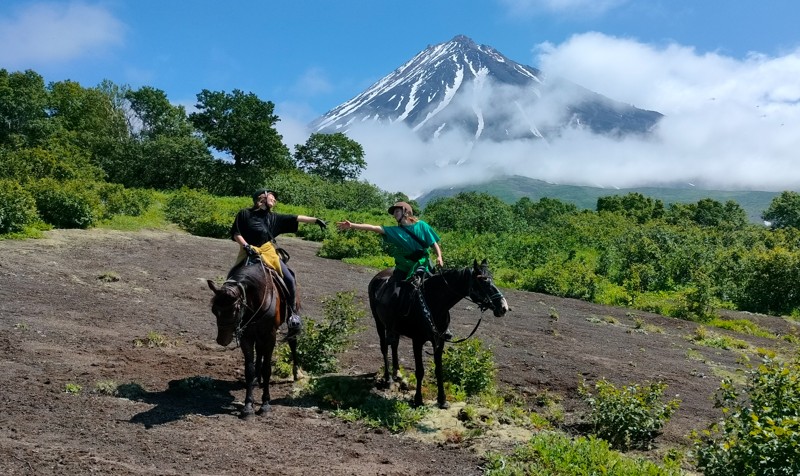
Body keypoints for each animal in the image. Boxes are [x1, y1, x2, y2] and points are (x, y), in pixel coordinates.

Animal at [208, 262, 298, 418]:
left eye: (235, 310)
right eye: (214, 310)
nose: (222, 340)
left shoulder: (270, 336)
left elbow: (267, 369)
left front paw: (265, 404)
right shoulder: (247, 336)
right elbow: (249, 370)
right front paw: (248, 406)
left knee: (292, 341)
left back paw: (296, 373)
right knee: (259, 351)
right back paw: (257, 377)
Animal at [368, 258, 510, 408]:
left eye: (492, 279)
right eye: (482, 281)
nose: (503, 307)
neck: (434, 303)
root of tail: (377, 276)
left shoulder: (439, 340)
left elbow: (439, 370)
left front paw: (442, 400)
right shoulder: (417, 341)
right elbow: (420, 371)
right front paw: (418, 400)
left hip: (394, 328)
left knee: (394, 345)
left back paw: (398, 374)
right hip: (379, 323)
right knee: (384, 347)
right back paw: (388, 379)